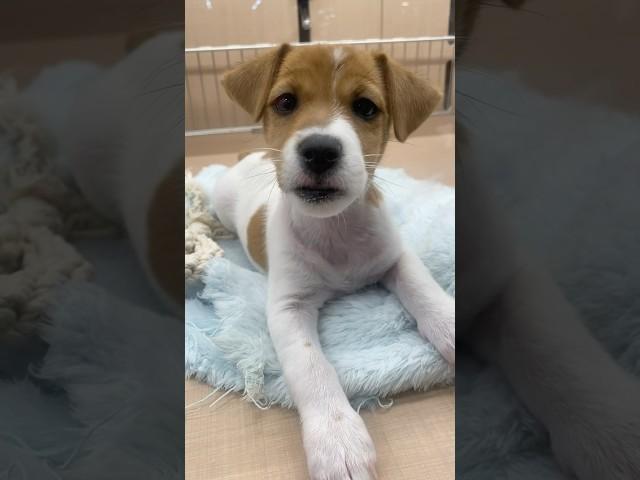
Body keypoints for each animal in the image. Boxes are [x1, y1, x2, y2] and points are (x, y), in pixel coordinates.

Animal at [215, 43, 456, 478]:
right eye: (285, 101)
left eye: (365, 107)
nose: (320, 150)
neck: (334, 230)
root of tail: (252, 156)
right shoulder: (288, 308)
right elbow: (312, 369)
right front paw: (337, 439)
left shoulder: (396, 256)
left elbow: (424, 289)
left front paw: (449, 326)